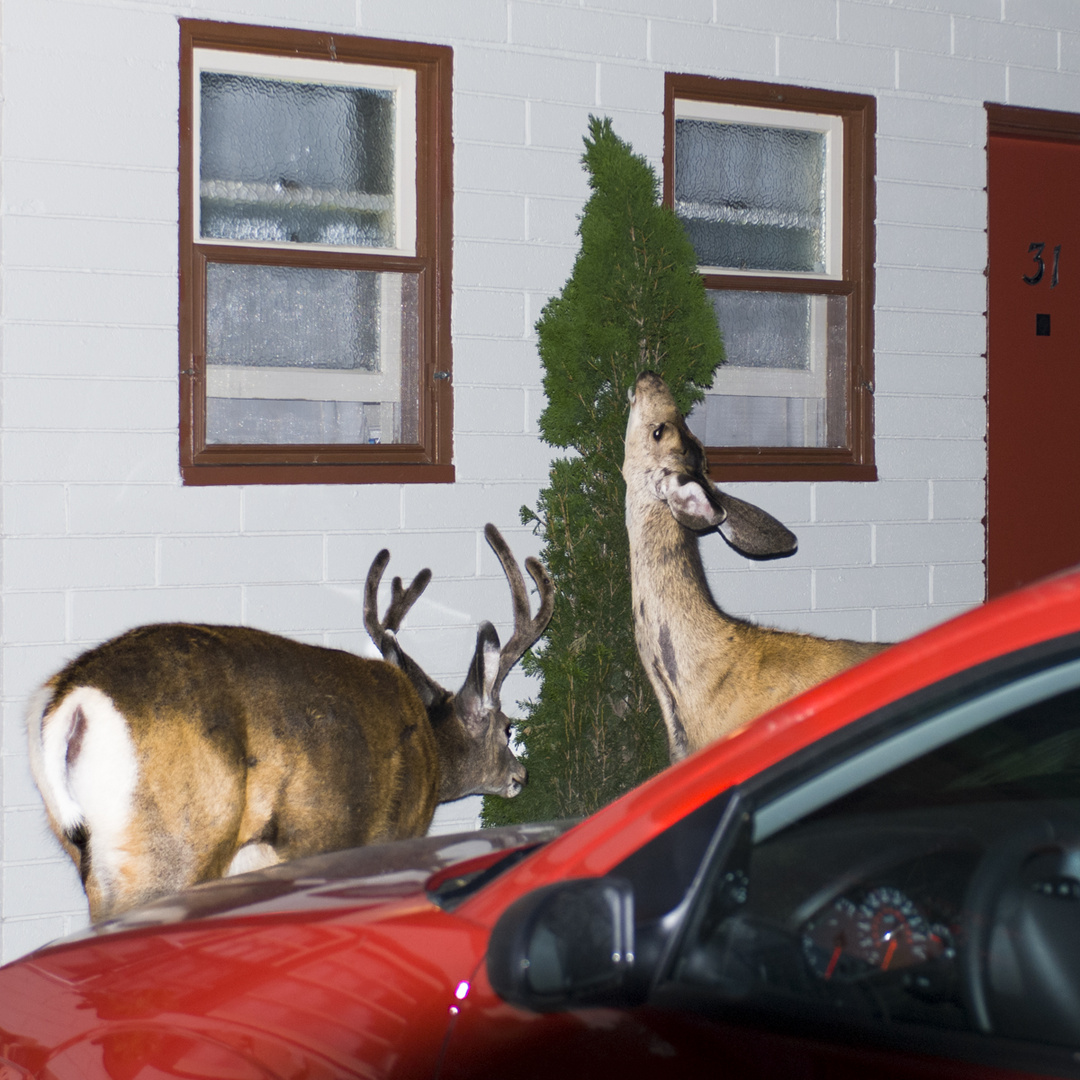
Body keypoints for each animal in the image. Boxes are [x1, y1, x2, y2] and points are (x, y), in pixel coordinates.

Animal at [28, 522, 552, 920]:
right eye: (508, 727)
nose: (522, 775)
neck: (432, 750)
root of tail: (74, 698)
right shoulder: (389, 834)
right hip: (172, 845)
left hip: (91, 856)